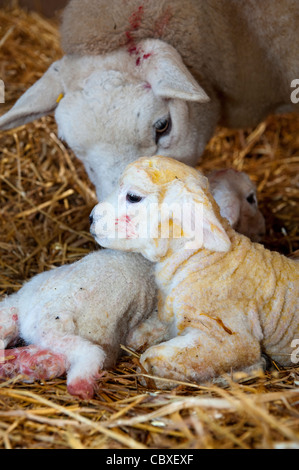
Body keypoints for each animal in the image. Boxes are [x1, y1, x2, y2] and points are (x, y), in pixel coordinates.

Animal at [91, 156, 299, 388]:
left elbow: (151, 360)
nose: (91, 218)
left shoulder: (231, 338)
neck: (200, 259)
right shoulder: (172, 313)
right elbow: (143, 333)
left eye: (133, 197)